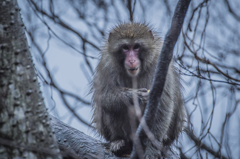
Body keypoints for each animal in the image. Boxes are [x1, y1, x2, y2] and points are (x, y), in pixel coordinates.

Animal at [91, 22, 185, 158]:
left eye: (136, 47)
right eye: (125, 48)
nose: (131, 60)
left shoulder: (160, 65)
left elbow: (163, 105)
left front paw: (152, 149)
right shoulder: (106, 64)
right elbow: (102, 97)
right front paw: (133, 95)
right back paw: (119, 142)